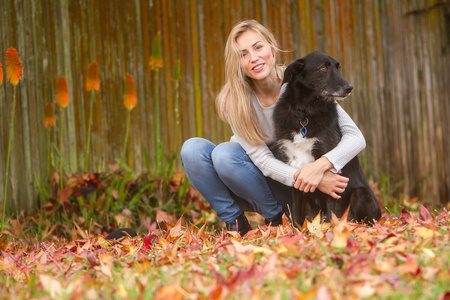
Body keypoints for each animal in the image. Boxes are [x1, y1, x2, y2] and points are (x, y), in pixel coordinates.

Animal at [270, 51, 380, 225]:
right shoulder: (294, 171)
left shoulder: (331, 176)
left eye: (338, 67)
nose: (349, 88)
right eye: (323, 68)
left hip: (361, 194)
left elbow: (331, 215)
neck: (305, 113)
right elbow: (295, 216)